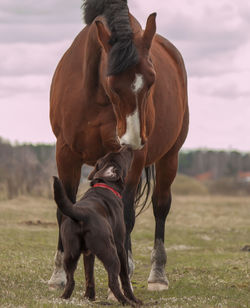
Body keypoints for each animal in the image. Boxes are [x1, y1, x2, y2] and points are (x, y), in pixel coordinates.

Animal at [52, 147, 143, 306]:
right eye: (122, 155)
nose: (128, 147)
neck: (104, 185)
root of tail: (81, 214)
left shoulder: (88, 253)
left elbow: (89, 275)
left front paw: (89, 297)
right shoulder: (120, 245)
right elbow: (124, 277)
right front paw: (134, 299)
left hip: (70, 254)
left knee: (71, 281)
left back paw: (64, 298)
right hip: (110, 252)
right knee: (113, 282)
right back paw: (126, 302)